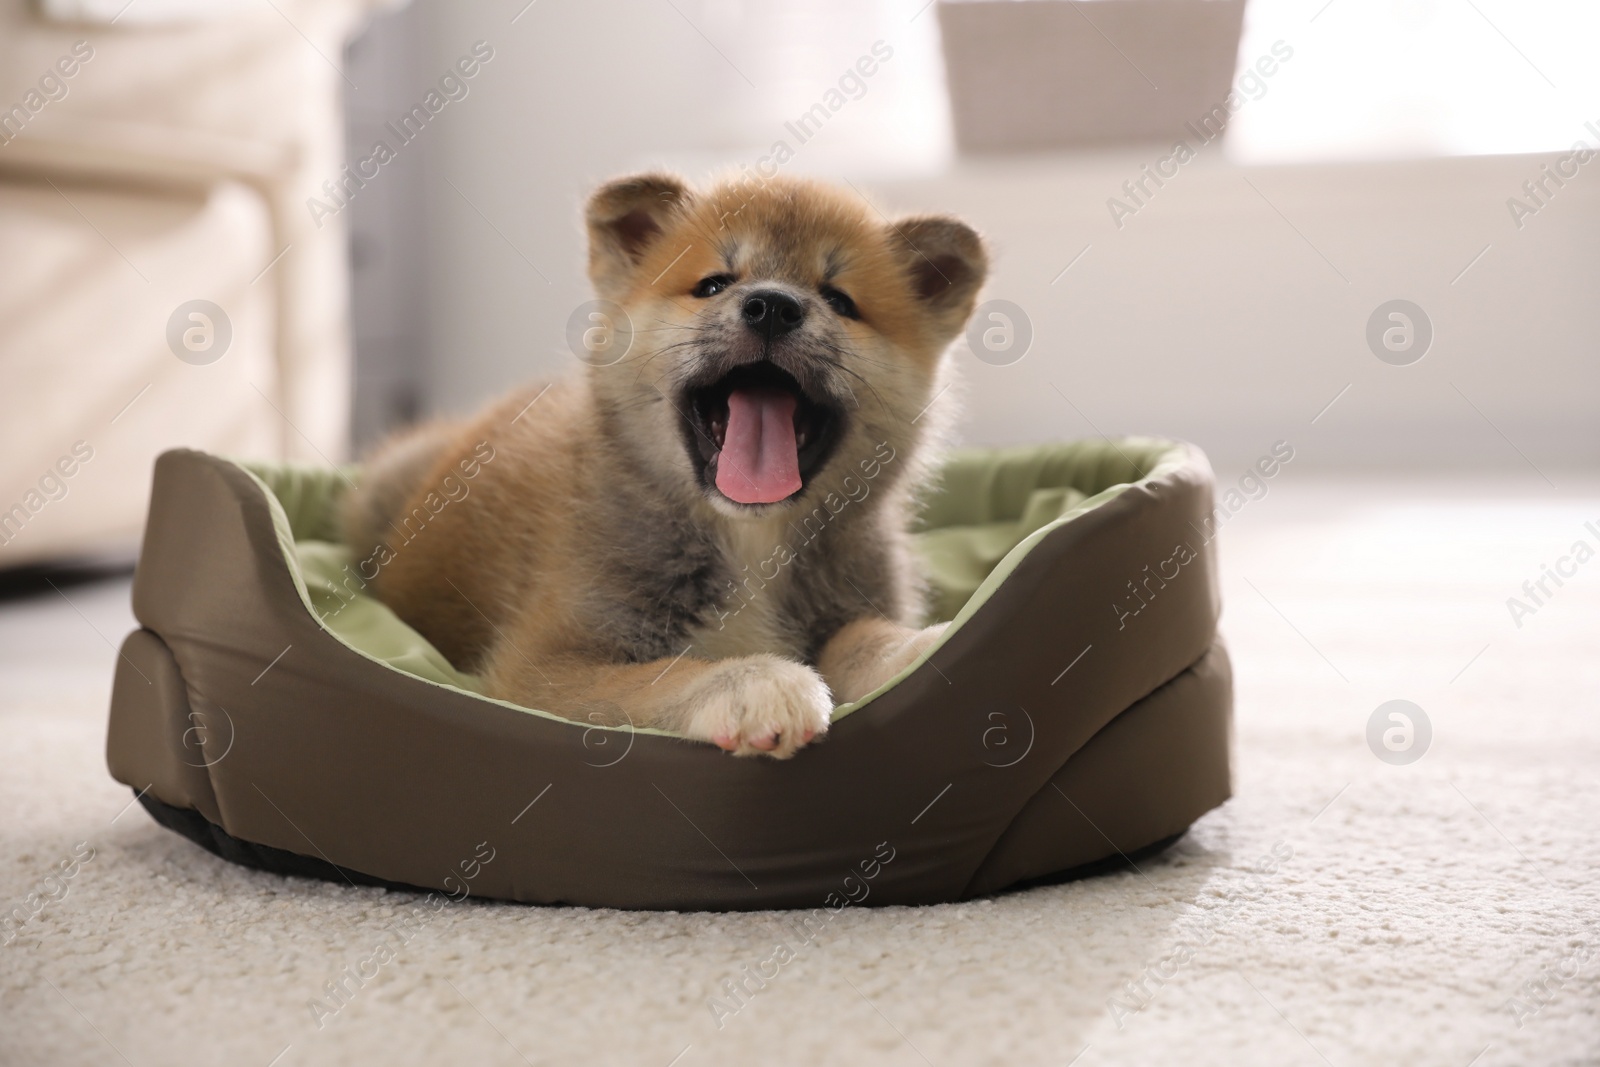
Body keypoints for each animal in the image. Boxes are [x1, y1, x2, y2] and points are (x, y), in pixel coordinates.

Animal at [347, 173, 985, 758]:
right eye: (713, 284)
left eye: (840, 300)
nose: (773, 306)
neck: (750, 541)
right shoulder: (544, 665)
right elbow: (658, 676)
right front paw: (751, 680)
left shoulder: (853, 603)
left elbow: (861, 638)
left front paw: (919, 646)